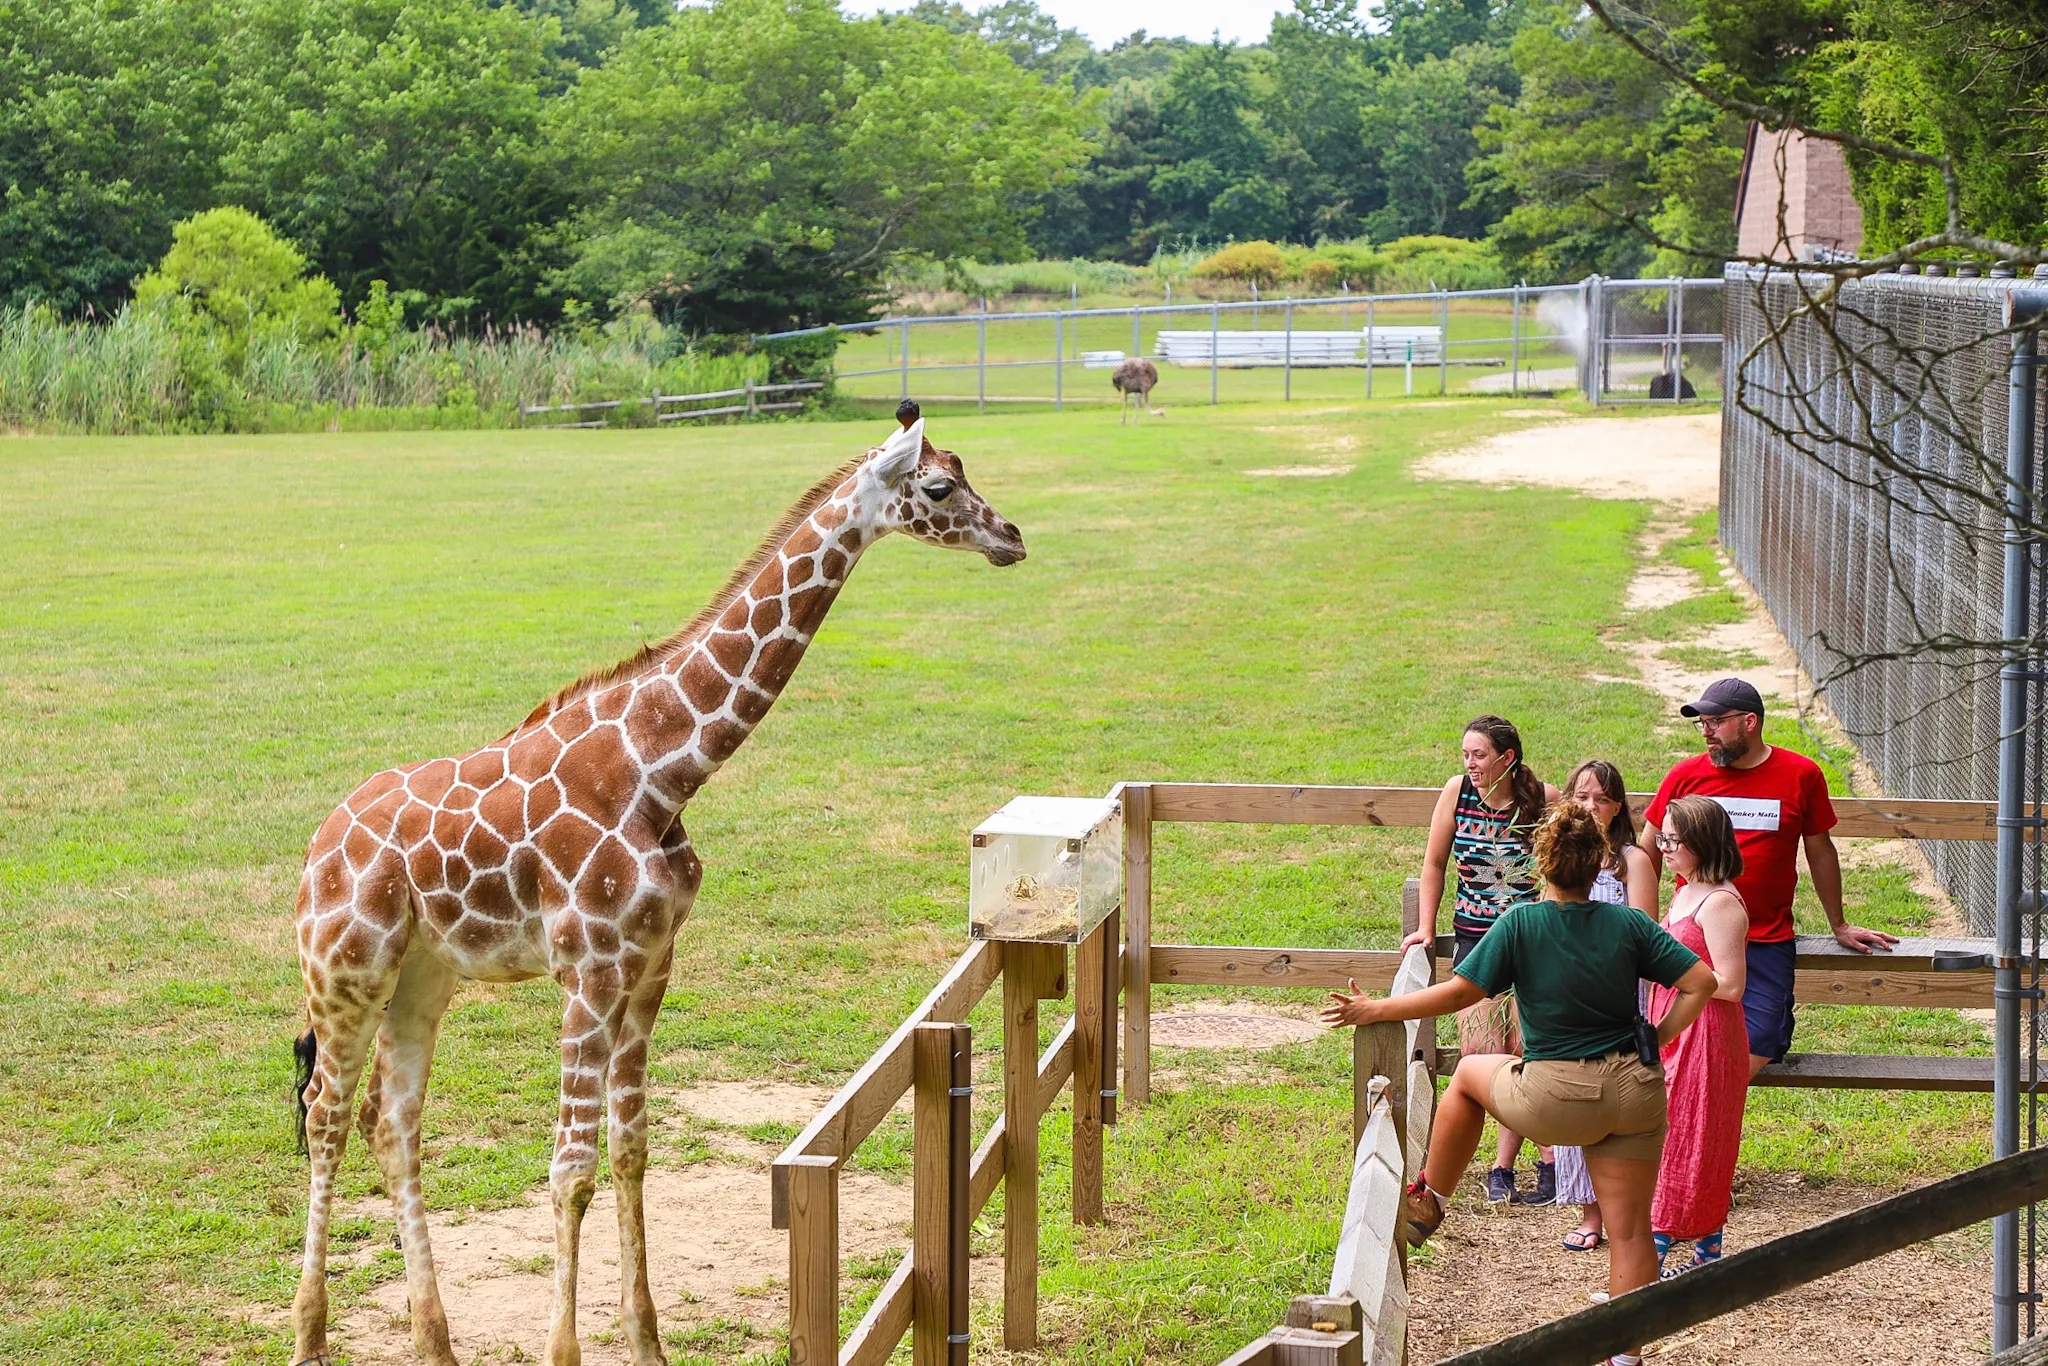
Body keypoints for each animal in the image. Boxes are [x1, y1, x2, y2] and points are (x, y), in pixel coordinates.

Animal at [288, 411, 1024, 1366]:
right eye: (938, 486)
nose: (1012, 538)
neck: (662, 770)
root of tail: (317, 843)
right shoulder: (589, 969)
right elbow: (569, 1169)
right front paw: (565, 1352)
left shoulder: (651, 965)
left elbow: (631, 1150)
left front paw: (648, 1342)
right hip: (347, 970)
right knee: (326, 1116)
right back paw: (309, 1337)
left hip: (424, 975)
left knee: (391, 1122)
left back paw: (435, 1342)